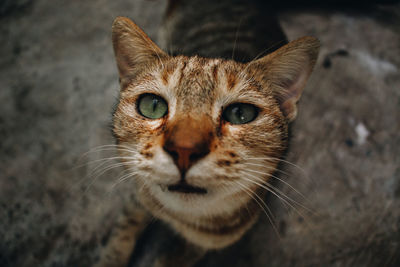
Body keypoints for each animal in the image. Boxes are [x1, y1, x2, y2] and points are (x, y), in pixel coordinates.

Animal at [95, 1, 320, 266]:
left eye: (240, 113)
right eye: (152, 105)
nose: (184, 149)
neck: (179, 217)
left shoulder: (207, 243)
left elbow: (171, 258)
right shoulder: (138, 194)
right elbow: (123, 231)